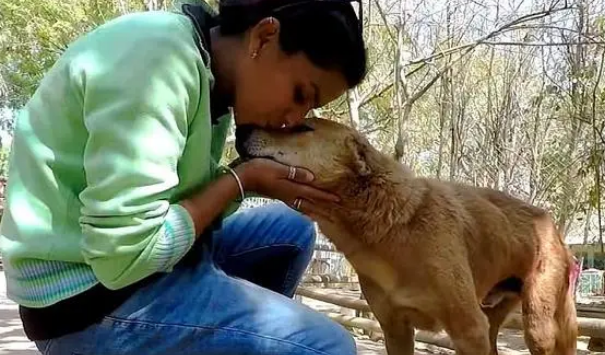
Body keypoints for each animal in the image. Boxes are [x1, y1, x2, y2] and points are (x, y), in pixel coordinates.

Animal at [234, 118, 580, 354]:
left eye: (303, 127)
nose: (240, 128)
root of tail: (554, 228)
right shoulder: (395, 328)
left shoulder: (469, 329)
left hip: (539, 329)